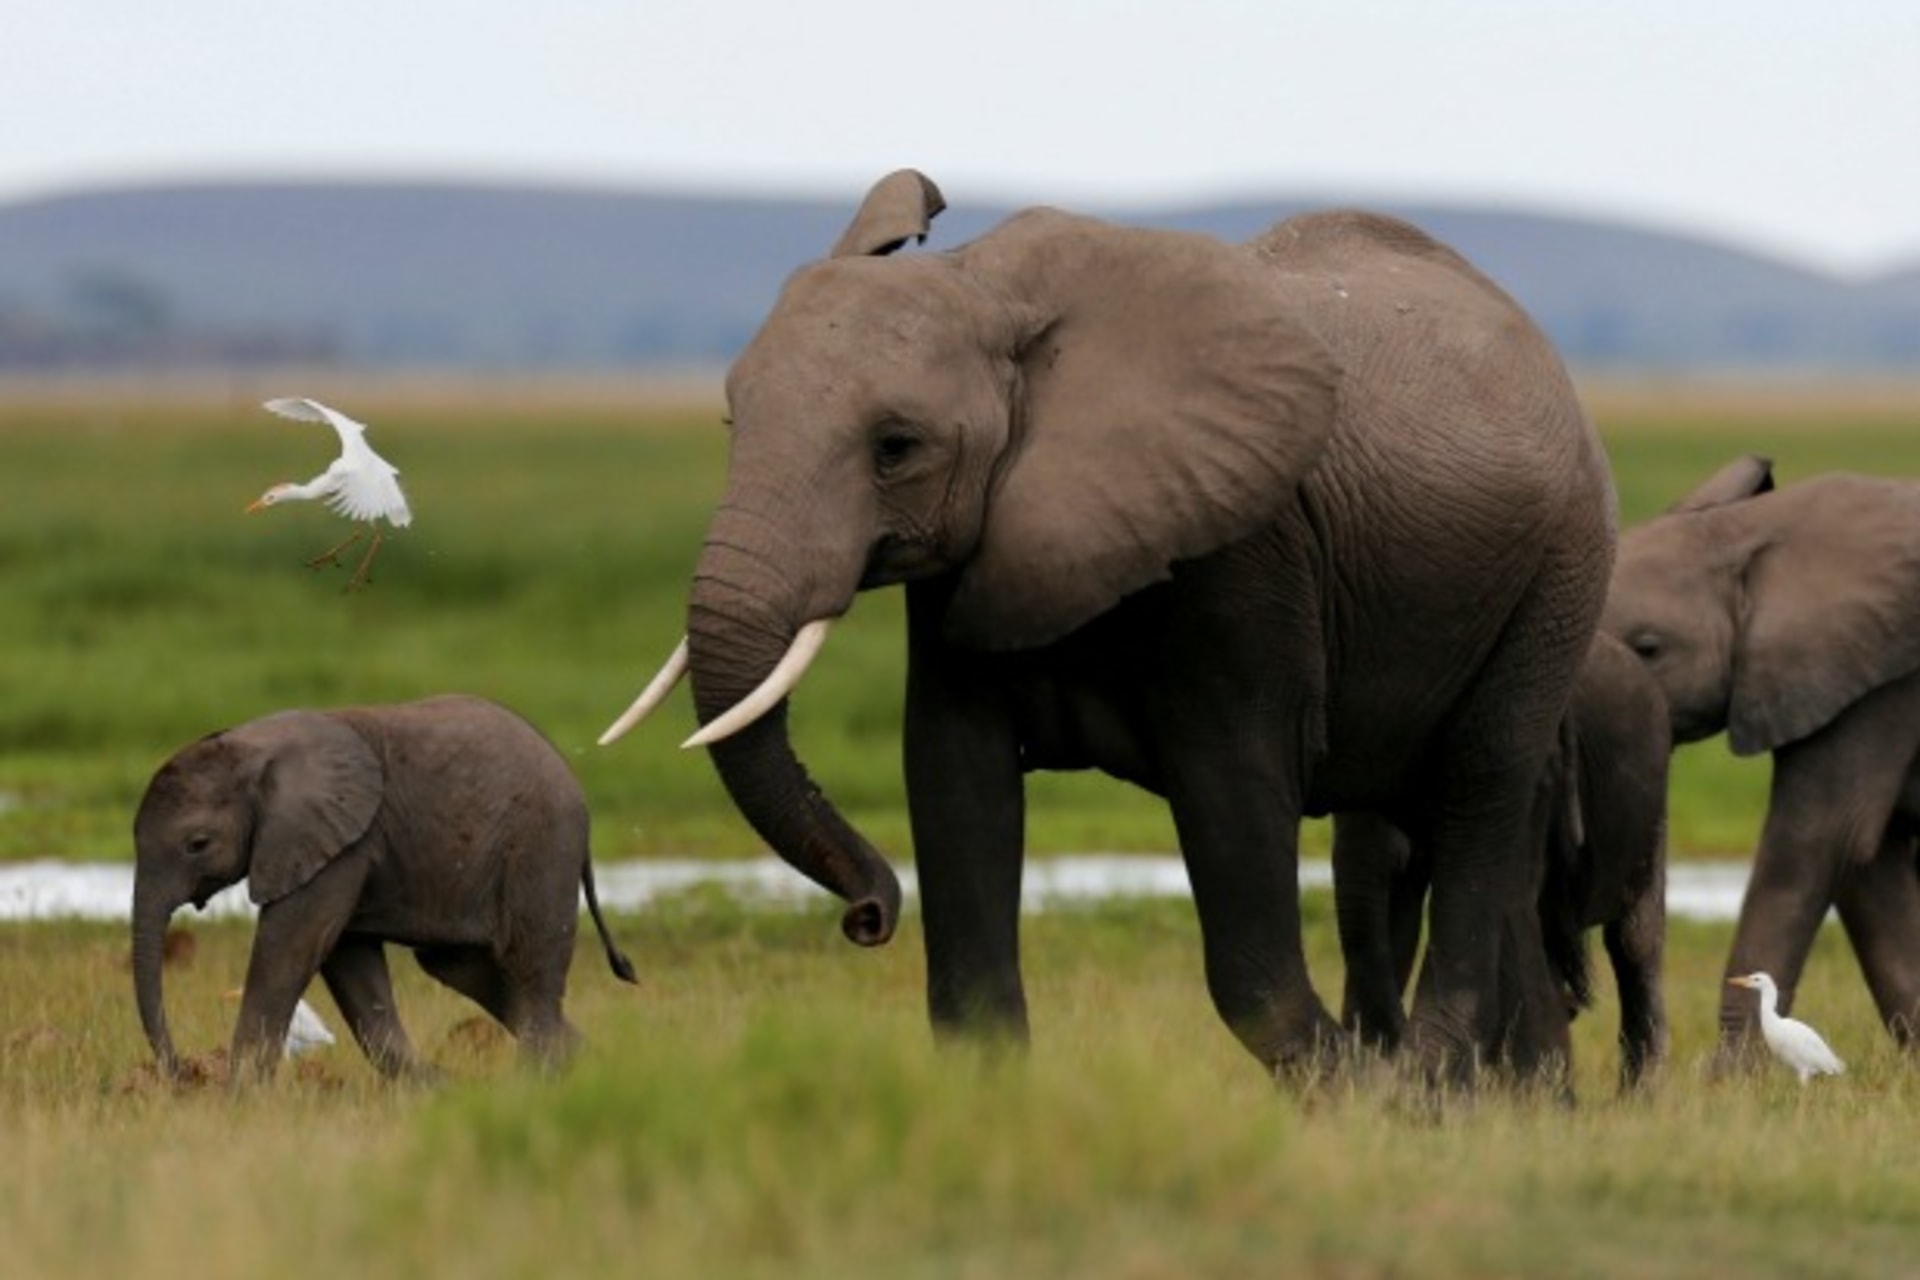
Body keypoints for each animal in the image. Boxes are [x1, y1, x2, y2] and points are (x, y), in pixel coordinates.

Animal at [132, 694, 637, 1082]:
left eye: (197, 844)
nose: (180, 1073)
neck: (252, 747)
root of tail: (574, 782)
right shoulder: (341, 845)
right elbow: (349, 961)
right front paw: (438, 1090)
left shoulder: (339, 843)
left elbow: (290, 947)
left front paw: (240, 1098)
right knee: (465, 968)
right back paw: (592, 1067)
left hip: (541, 846)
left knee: (531, 971)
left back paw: (537, 1084)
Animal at [603, 169, 1616, 1083]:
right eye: (731, 423)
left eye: (897, 449)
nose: (868, 917)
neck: (990, 287)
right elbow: (954, 777)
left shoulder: (1244, 554)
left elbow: (1234, 797)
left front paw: (1355, 1096)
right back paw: (1504, 1104)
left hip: (1558, 574)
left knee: (1480, 791)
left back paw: (1426, 1090)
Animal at [1601, 455, 1920, 1061]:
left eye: (1650, 648)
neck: (1750, 532)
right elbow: (1868, 864)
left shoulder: (1880, 682)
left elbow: (1817, 843)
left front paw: (1729, 1078)